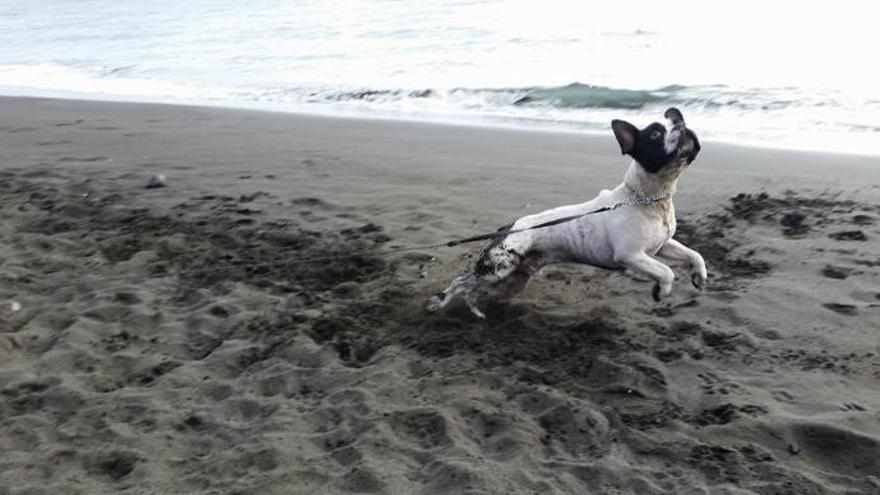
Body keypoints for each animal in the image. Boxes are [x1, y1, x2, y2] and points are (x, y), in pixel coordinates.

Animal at [426, 106, 708, 320]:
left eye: (679, 121)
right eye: (655, 133)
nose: (682, 127)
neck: (648, 198)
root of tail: (508, 228)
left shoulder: (663, 245)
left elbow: (694, 254)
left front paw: (699, 276)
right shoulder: (631, 256)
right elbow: (667, 272)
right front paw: (661, 291)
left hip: (511, 280)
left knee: (474, 287)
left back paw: (476, 310)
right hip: (499, 269)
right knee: (462, 282)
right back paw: (441, 301)